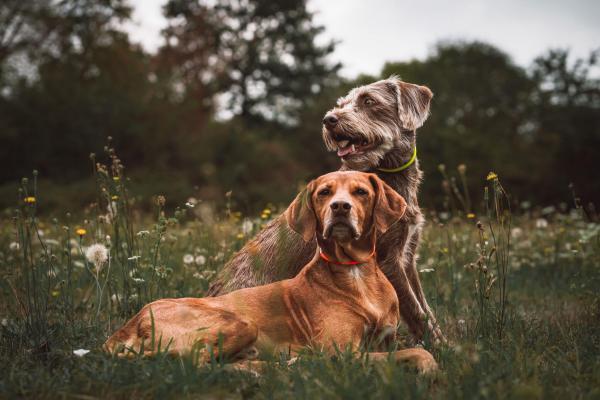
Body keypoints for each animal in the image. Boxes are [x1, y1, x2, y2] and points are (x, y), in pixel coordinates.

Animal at [105, 173, 436, 376]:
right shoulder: (341, 351)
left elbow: (415, 349)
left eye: (361, 192)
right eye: (324, 192)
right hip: (239, 322)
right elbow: (418, 354)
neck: (357, 272)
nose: (340, 207)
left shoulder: (386, 339)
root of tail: (130, 323)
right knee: (199, 363)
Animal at [207, 76, 446, 342]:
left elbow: (424, 306)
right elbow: (417, 312)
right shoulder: (388, 260)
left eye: (368, 101)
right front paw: (440, 347)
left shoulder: (407, 256)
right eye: (341, 104)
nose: (329, 119)